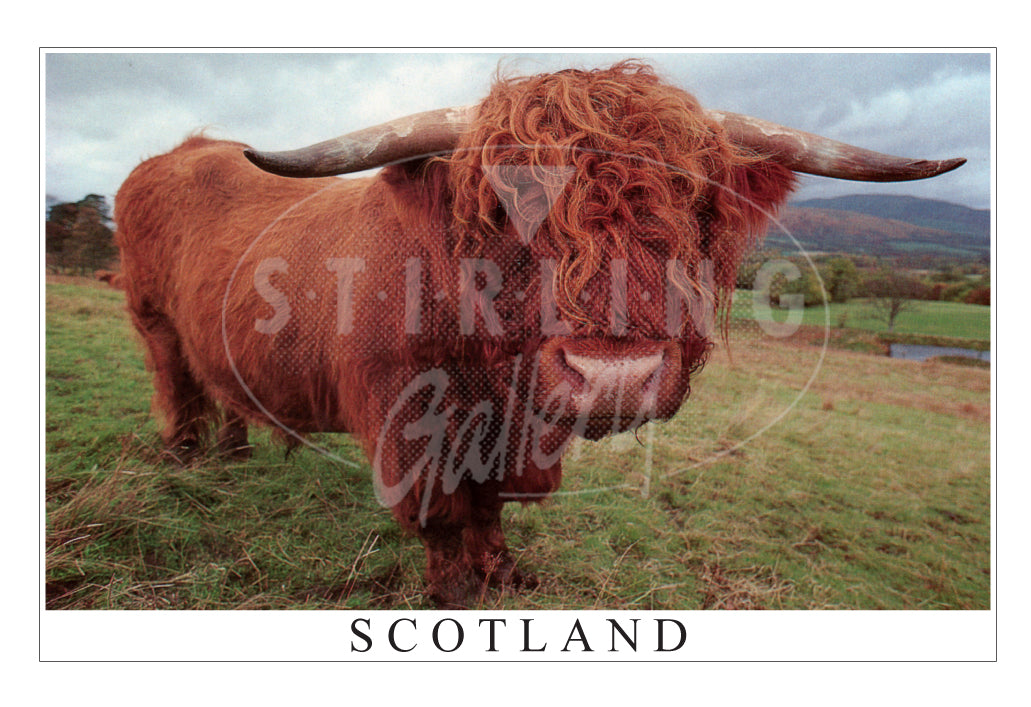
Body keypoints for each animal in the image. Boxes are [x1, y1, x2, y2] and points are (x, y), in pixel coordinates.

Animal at [113, 61, 963, 606]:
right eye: (504, 204)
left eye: (692, 201)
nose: (615, 375)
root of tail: (176, 153)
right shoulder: (409, 420)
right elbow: (443, 511)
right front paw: (453, 588)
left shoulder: (518, 431)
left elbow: (491, 504)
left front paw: (502, 573)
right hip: (151, 318)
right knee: (174, 384)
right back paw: (185, 461)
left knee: (222, 387)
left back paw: (232, 454)